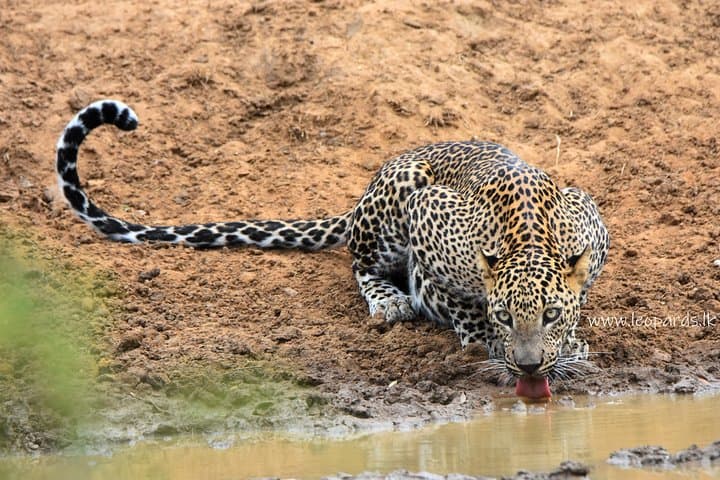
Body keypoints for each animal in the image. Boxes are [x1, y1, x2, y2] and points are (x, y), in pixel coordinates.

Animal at [56, 100, 609, 396]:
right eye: (505, 316)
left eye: (551, 315)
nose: (530, 368)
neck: (528, 233)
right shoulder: (428, 222)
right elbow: (460, 306)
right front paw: (485, 342)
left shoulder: (589, 219)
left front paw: (570, 345)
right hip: (401, 193)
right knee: (361, 263)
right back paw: (390, 302)